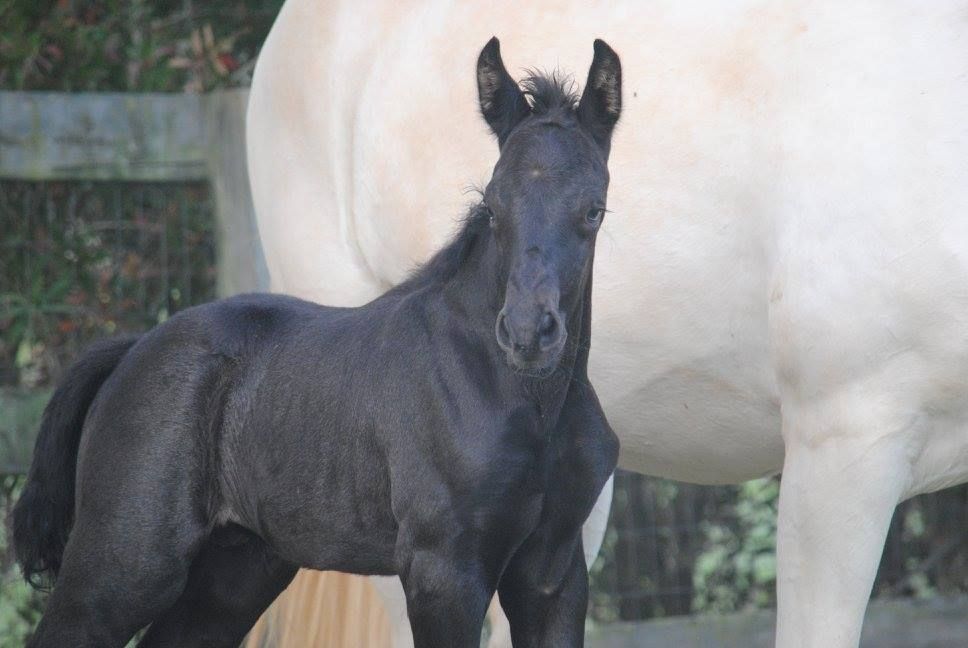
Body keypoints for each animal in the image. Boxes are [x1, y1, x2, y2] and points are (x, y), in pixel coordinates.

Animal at [13, 39, 623, 648]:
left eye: (594, 211)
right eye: (492, 207)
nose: (526, 335)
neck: (526, 401)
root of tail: (132, 349)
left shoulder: (552, 574)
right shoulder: (444, 570)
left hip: (237, 567)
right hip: (123, 562)